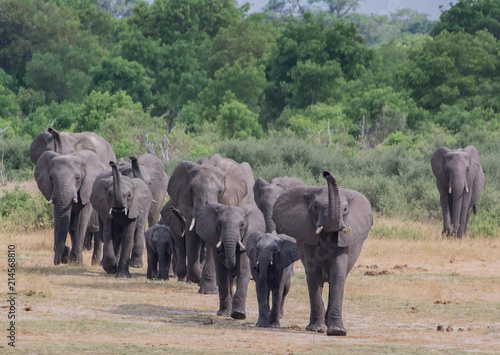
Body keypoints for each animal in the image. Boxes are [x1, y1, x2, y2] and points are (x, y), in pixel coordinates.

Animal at [274, 171, 372, 338]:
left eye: (345, 209)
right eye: (315, 207)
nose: (326, 173)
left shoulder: (342, 241)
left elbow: (338, 273)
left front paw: (337, 331)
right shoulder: (307, 235)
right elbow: (313, 273)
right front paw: (317, 329)